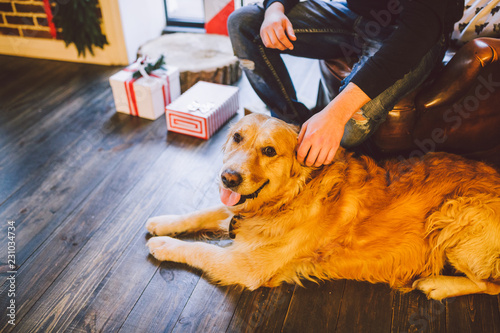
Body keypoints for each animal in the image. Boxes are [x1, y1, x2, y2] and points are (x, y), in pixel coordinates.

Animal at [146, 113, 500, 300]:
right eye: (237, 137)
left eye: (269, 151)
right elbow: (202, 212)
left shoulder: (244, 266)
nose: (228, 178)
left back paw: (436, 284)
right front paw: (163, 222)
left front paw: (162, 244)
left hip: (453, 215)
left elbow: (198, 250)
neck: (290, 196)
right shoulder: (238, 211)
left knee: (490, 286)